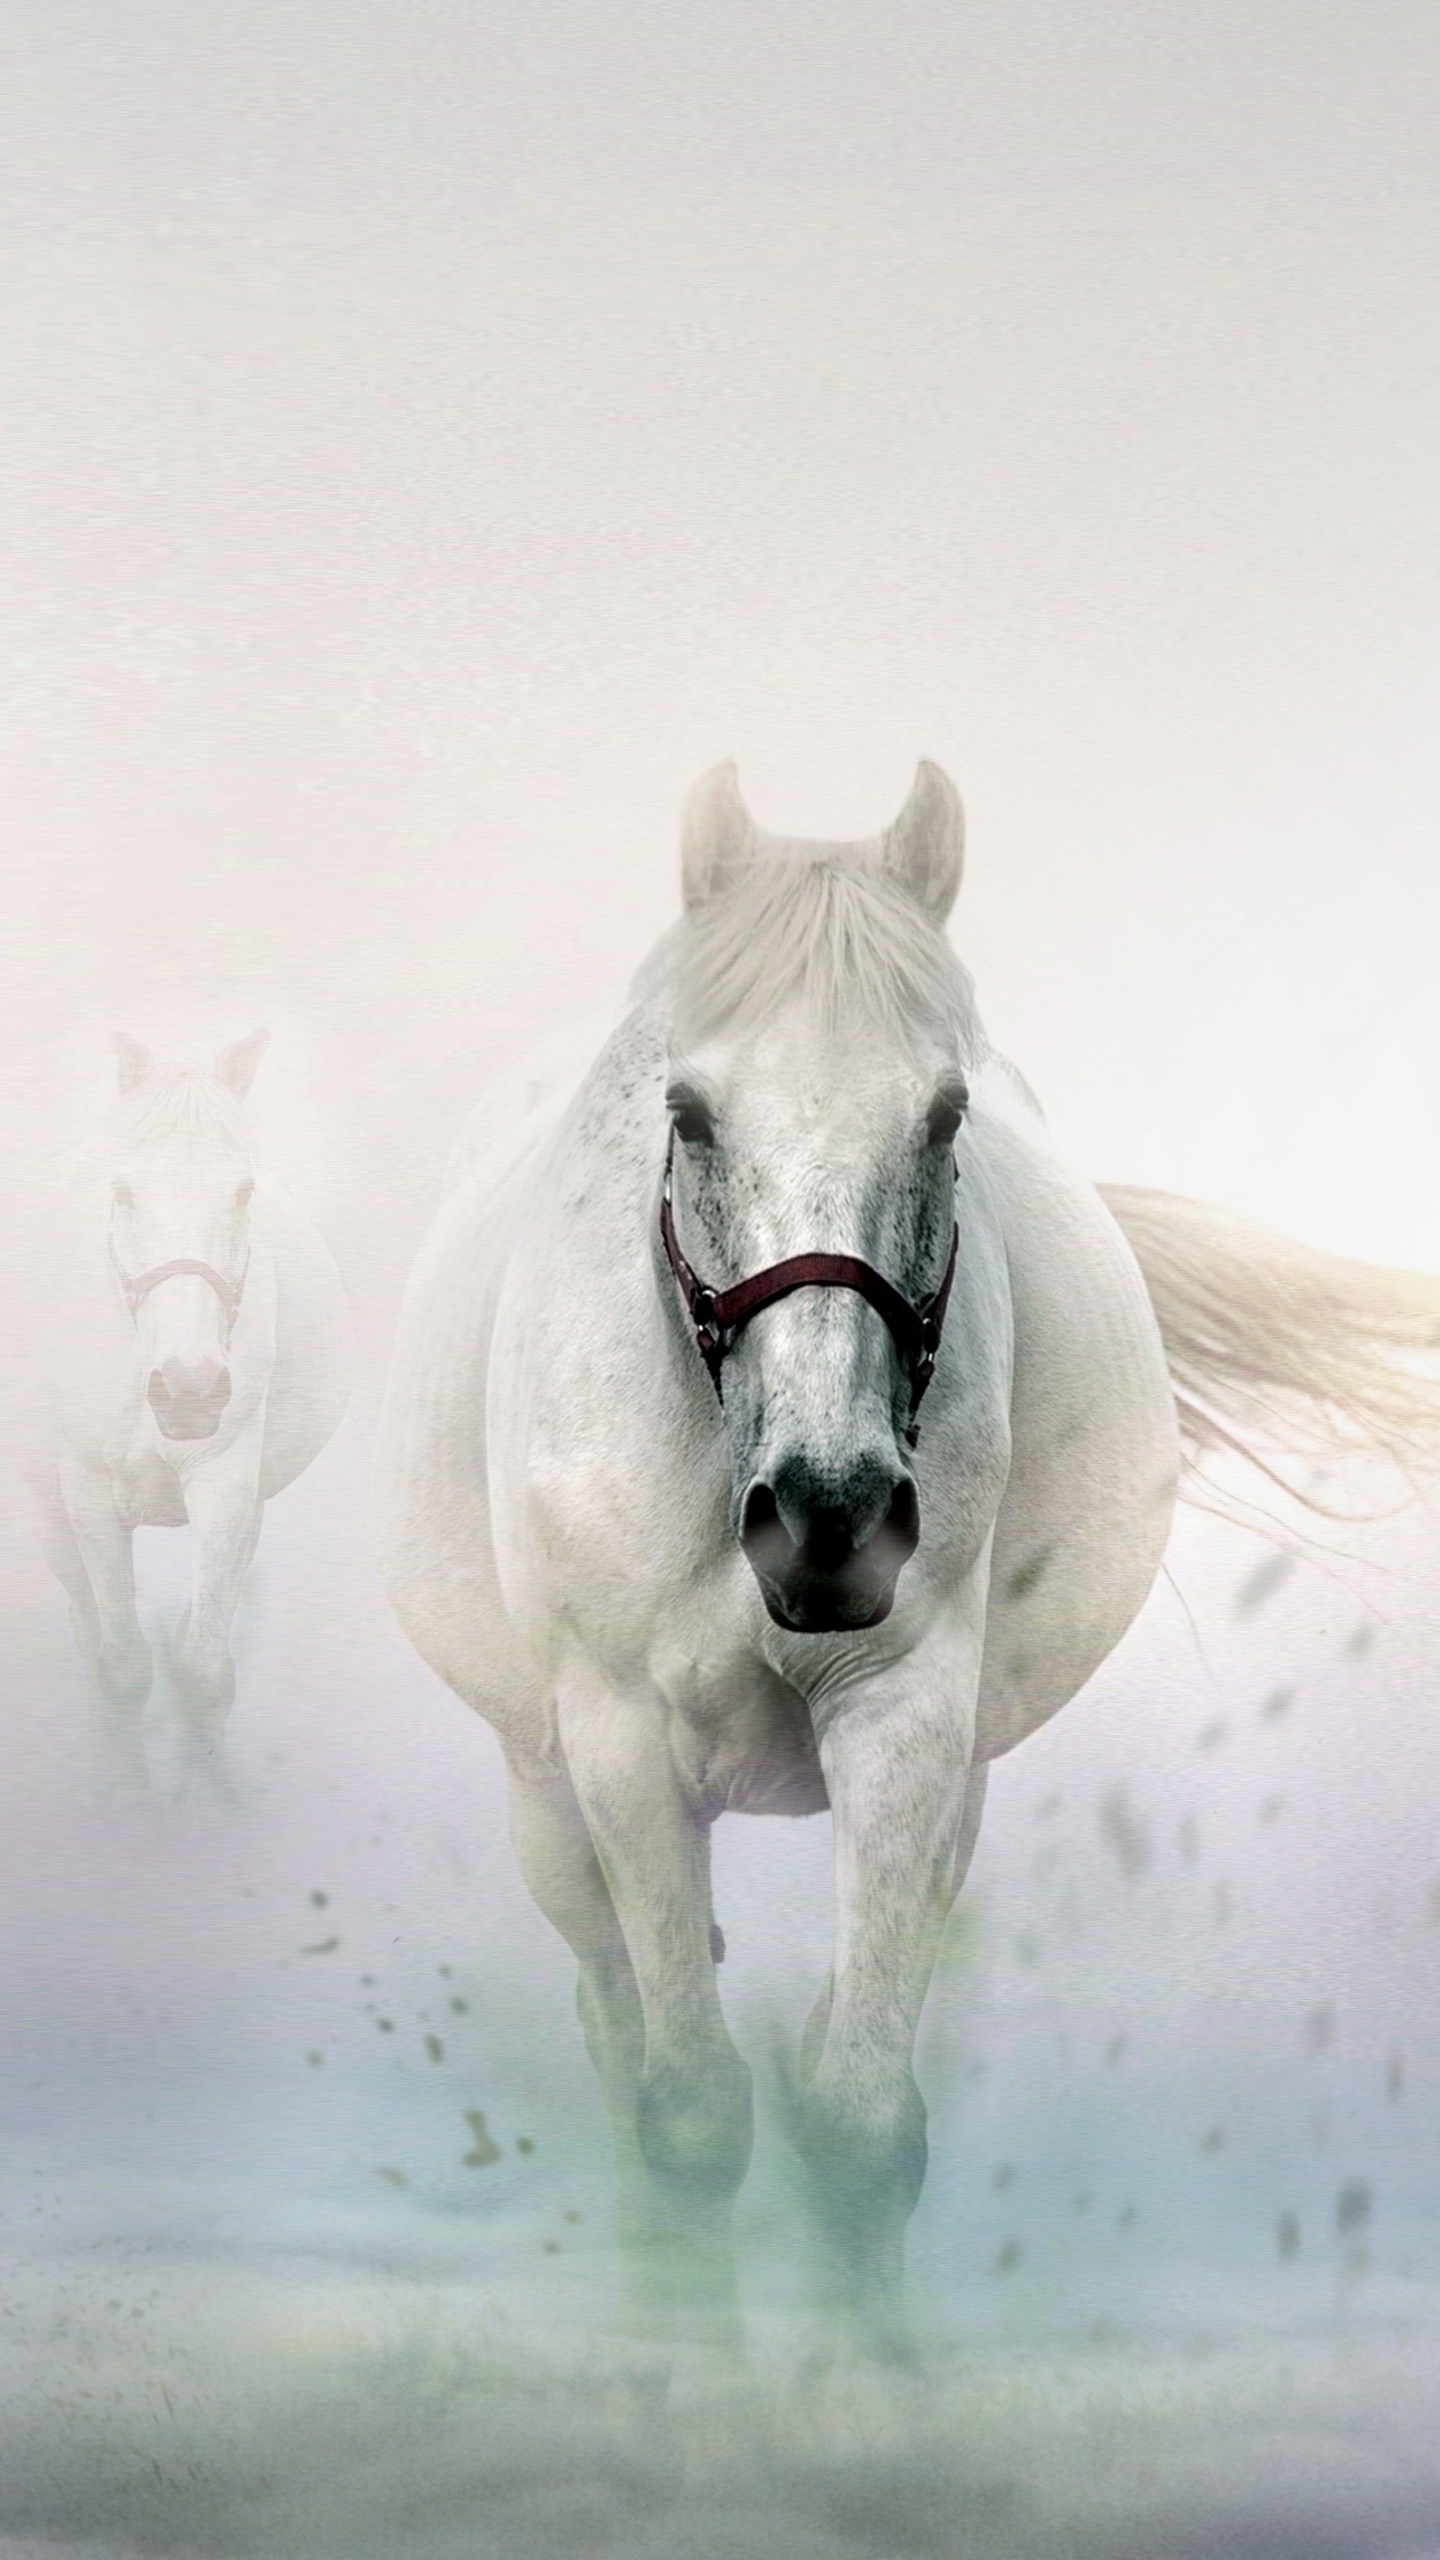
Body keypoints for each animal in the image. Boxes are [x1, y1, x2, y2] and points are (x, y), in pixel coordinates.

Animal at [31, 1029, 350, 1798]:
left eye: (243, 1191)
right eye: (122, 1190)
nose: (189, 1389)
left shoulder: (227, 1483)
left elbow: (202, 1668)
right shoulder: (85, 1492)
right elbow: (120, 1664)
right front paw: (127, 1797)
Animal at [376, 762, 1440, 2357]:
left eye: (945, 1115)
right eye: (688, 1111)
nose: (827, 1512)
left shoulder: (909, 1718)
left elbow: (861, 2117)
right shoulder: (619, 1743)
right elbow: (687, 2120)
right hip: (542, 1795)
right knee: (618, 2035)